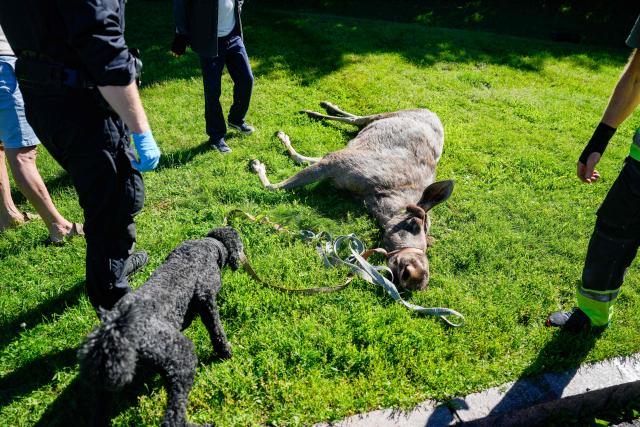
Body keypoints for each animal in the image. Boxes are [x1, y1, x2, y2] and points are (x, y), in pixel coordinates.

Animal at [250, 102, 454, 291]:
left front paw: (281, 143)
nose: (416, 277)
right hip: (386, 115)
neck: (378, 198)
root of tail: (431, 112)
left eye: (429, 243)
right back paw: (318, 109)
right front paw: (259, 164)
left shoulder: (334, 164)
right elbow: (273, 186)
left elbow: (301, 160)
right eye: (413, 224)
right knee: (355, 119)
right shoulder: (336, 161)